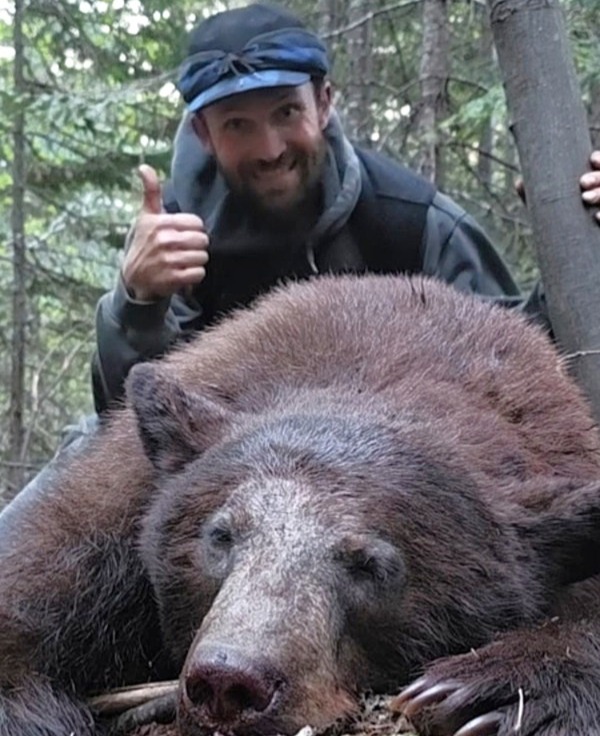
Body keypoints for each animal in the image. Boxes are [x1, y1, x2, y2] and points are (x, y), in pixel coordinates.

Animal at [0, 273, 599, 736]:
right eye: (220, 535)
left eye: (371, 564)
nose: (229, 679)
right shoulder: (120, 499)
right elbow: (39, 581)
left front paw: (499, 688)